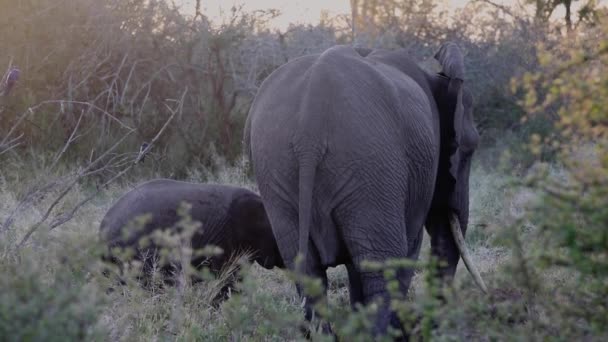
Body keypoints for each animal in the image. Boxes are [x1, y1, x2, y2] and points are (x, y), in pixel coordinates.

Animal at [242, 42, 484, 336]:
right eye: (469, 149)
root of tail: (309, 129)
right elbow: (409, 246)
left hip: (279, 167)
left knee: (307, 268)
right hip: (371, 162)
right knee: (381, 264)